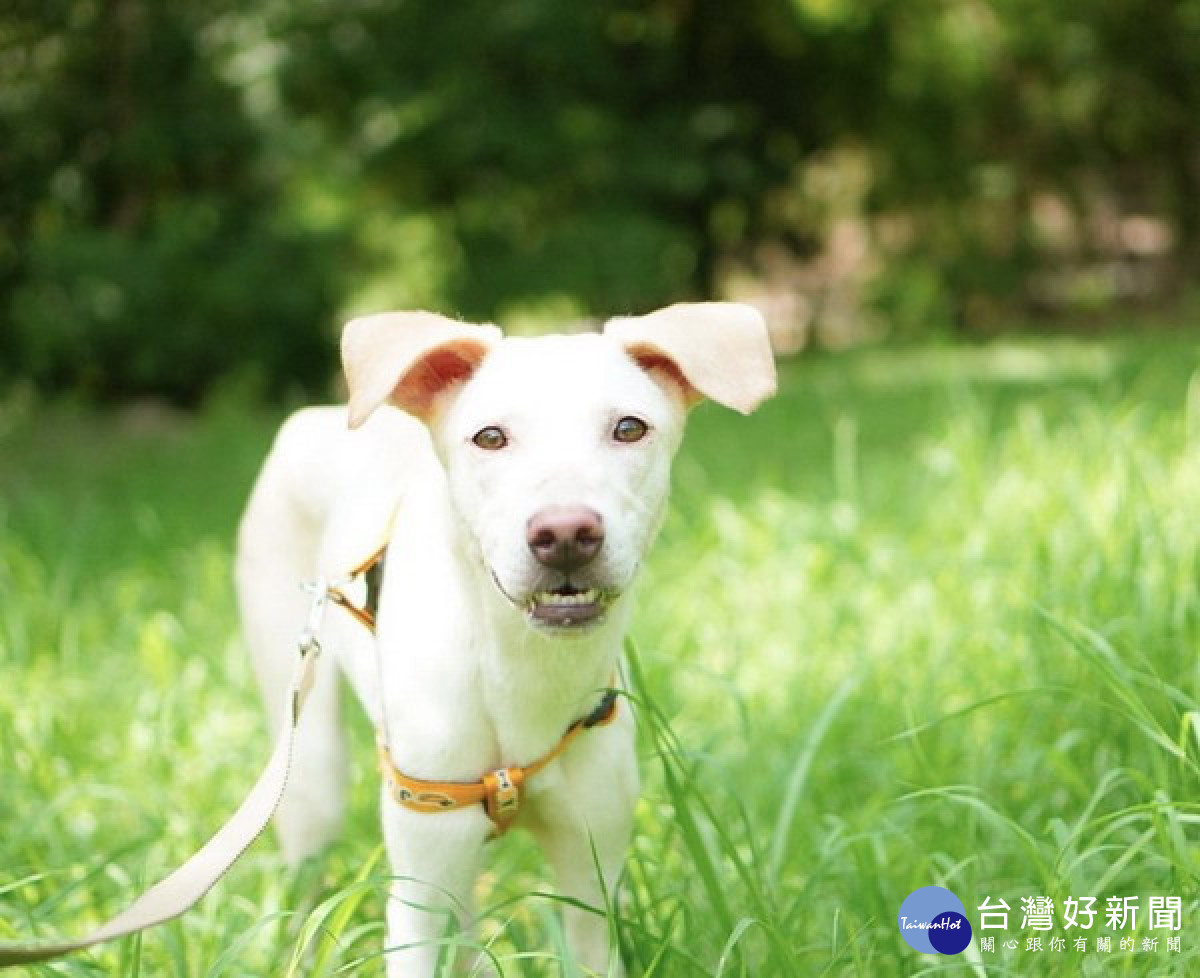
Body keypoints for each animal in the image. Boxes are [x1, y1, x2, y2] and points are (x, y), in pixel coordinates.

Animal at [235, 302, 777, 974]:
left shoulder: (594, 872)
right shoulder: (418, 882)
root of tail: (314, 416)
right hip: (312, 768)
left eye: (629, 428)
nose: (565, 533)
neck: (521, 673)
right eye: (490, 437)